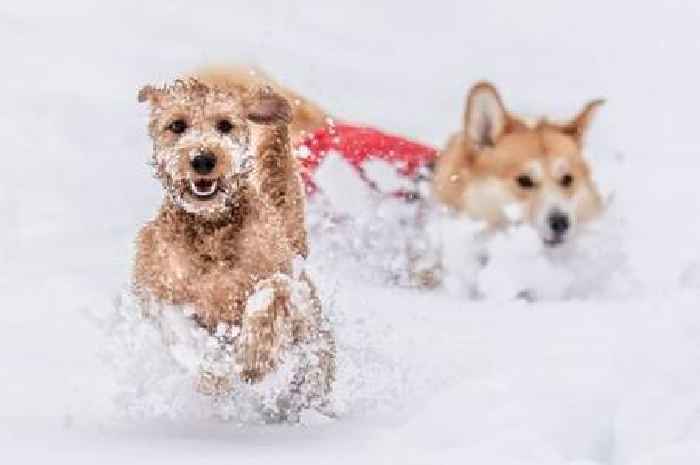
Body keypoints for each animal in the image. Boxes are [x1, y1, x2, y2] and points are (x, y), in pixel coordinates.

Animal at [135, 77, 338, 402]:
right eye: (177, 125)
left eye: (225, 125)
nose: (203, 159)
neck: (211, 231)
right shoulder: (157, 288)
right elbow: (180, 325)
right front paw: (213, 369)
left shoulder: (283, 279)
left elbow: (271, 292)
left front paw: (253, 357)